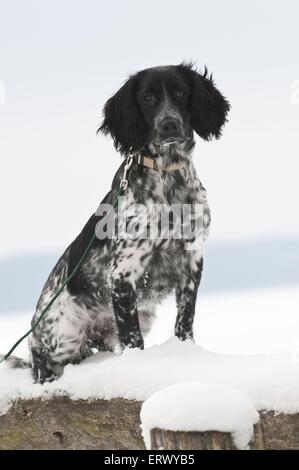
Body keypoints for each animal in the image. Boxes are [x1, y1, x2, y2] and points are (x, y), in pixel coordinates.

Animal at [14, 61, 231, 382]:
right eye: (148, 98)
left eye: (181, 92)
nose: (169, 125)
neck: (168, 178)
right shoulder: (123, 273)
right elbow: (132, 338)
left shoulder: (192, 261)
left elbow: (185, 320)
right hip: (63, 332)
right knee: (37, 351)